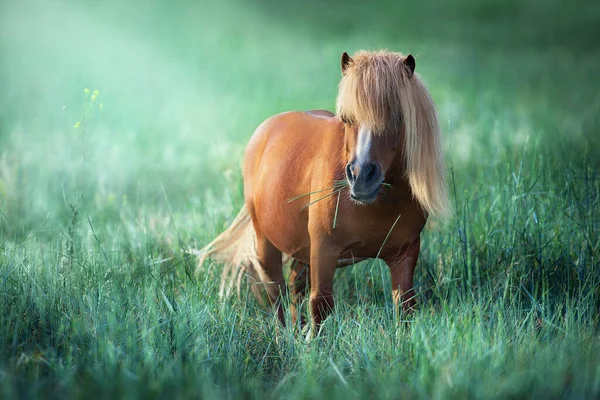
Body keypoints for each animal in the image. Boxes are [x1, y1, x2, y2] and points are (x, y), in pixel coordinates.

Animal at [198, 50, 450, 338]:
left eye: (398, 117)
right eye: (347, 118)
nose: (361, 177)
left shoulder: (405, 252)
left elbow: (405, 305)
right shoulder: (324, 249)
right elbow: (320, 303)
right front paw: (312, 344)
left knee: (295, 286)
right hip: (266, 243)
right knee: (276, 291)